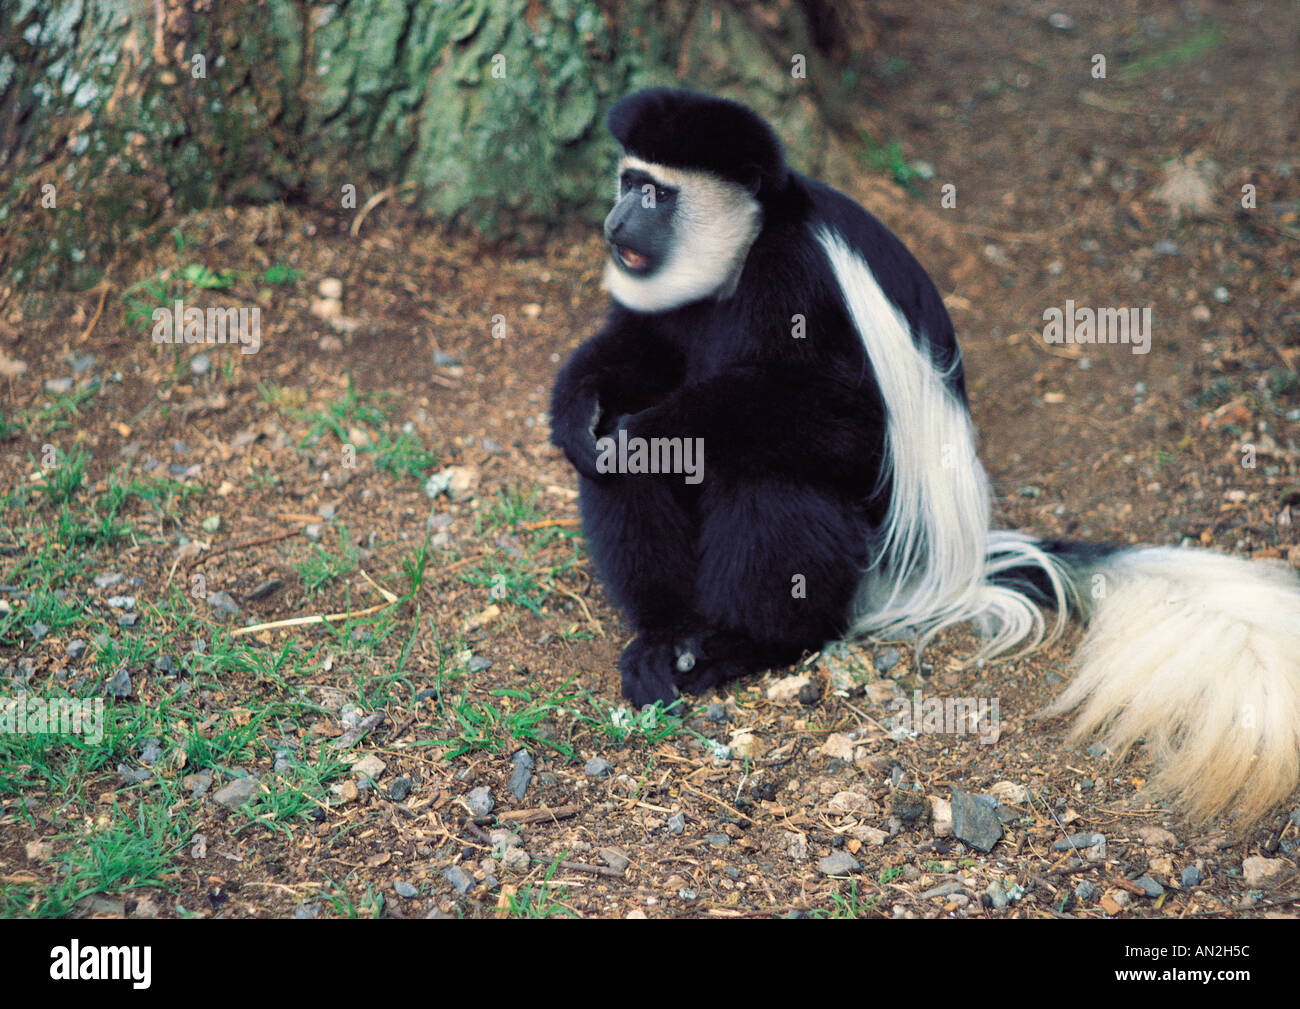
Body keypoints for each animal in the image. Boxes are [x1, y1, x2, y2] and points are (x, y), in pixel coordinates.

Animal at [551, 88, 1300, 826]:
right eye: (629, 181)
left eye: (655, 195)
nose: (614, 223)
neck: (747, 250)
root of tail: (939, 560)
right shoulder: (672, 306)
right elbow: (639, 349)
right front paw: (577, 411)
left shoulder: (800, 278)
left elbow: (850, 422)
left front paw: (654, 430)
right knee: (616, 479)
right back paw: (665, 637)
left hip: (862, 554)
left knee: (771, 480)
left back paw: (740, 644)